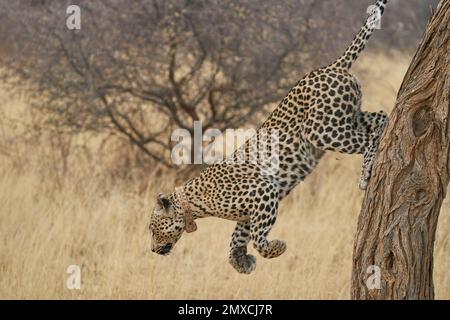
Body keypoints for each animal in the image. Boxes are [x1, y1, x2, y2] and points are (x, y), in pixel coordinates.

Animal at [149, 0, 388, 276]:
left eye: (152, 228)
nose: (152, 250)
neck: (193, 204)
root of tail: (332, 66)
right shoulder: (248, 212)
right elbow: (238, 238)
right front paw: (241, 262)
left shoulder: (263, 191)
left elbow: (257, 237)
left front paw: (275, 248)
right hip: (348, 116)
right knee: (381, 117)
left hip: (321, 131)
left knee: (369, 138)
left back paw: (366, 174)